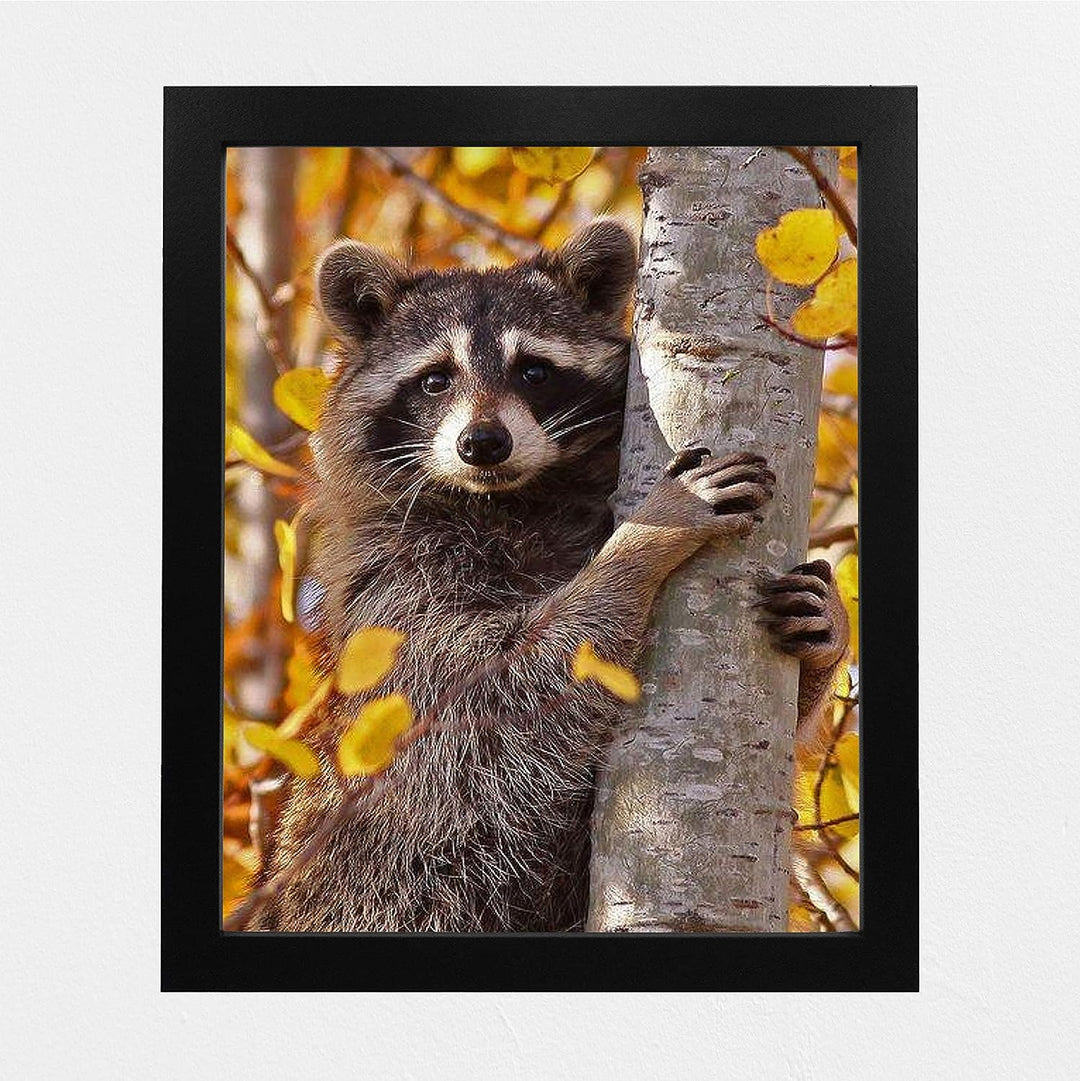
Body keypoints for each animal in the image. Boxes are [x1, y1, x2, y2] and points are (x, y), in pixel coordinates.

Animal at [255, 220, 848, 933]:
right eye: (434, 380)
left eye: (534, 371)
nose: (483, 443)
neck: (511, 499)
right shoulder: (398, 595)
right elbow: (505, 686)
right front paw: (645, 537)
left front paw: (828, 637)